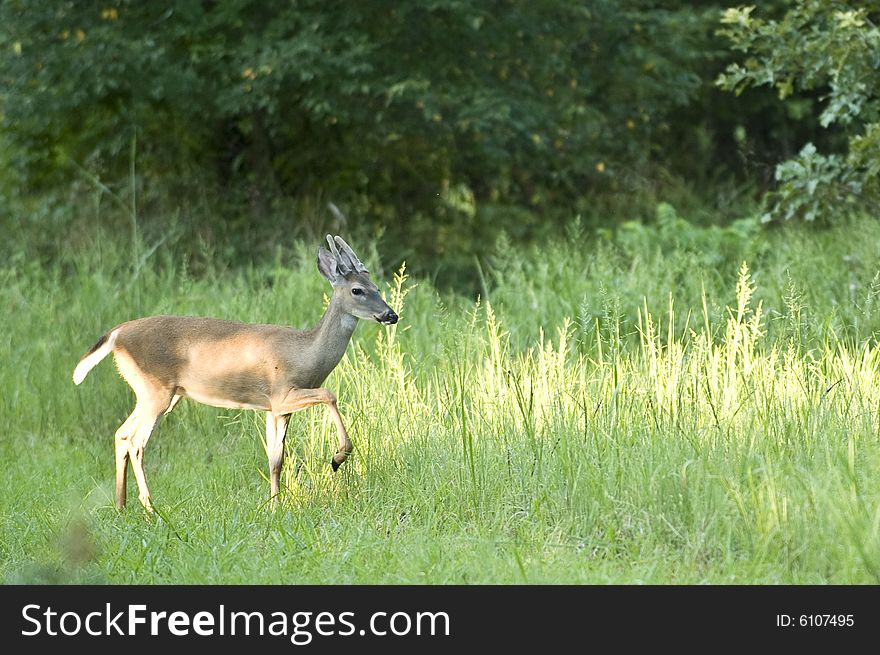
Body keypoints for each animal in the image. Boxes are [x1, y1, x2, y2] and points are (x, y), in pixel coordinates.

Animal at [72, 236, 398, 512]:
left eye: (378, 288)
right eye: (357, 290)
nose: (390, 314)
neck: (306, 353)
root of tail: (117, 333)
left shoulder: (275, 408)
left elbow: (275, 460)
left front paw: (275, 507)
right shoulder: (281, 393)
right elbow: (330, 394)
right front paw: (338, 457)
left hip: (160, 393)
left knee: (122, 434)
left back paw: (121, 505)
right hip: (155, 389)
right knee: (136, 443)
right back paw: (150, 508)